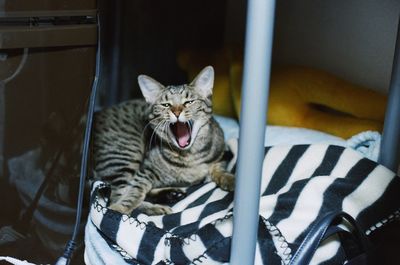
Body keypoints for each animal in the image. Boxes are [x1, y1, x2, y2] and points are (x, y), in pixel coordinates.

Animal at [92, 65, 233, 214]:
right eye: (166, 105)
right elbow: (134, 192)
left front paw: (231, 180)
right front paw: (121, 207)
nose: (176, 112)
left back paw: (170, 194)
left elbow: (219, 168)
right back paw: (154, 206)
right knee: (116, 196)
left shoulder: (221, 156)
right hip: (125, 153)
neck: (189, 157)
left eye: (189, 102)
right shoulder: (145, 171)